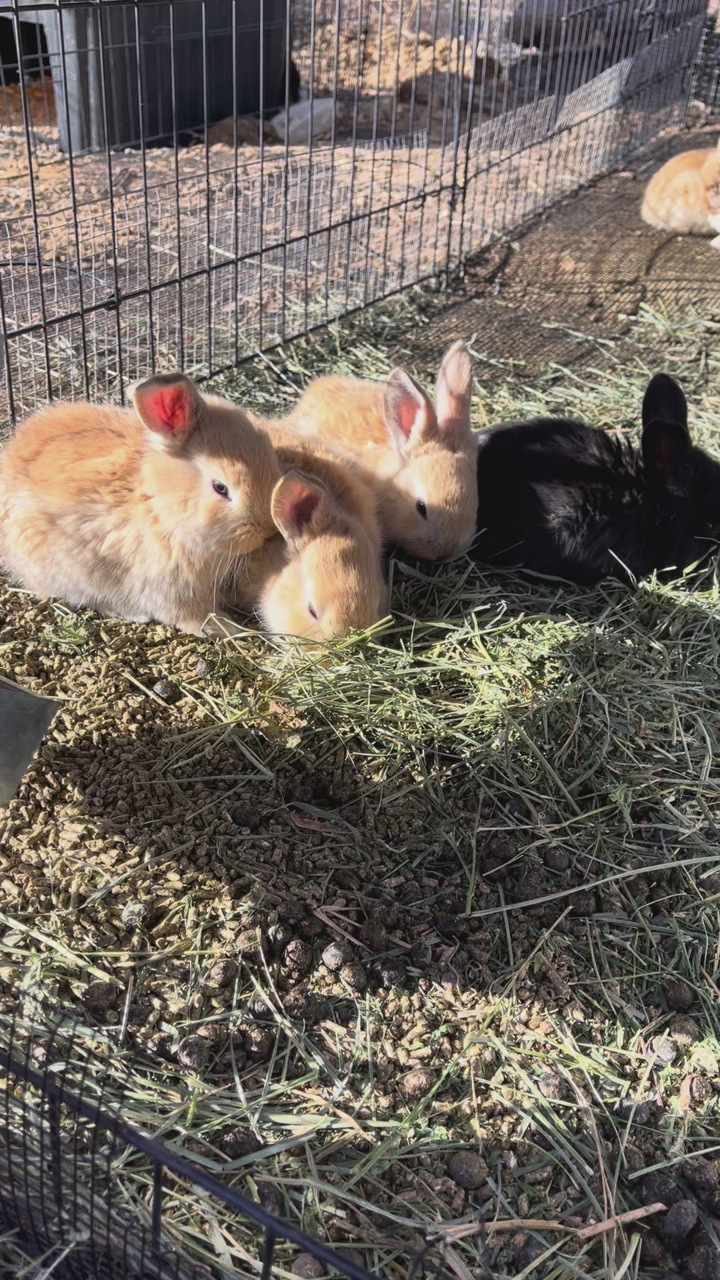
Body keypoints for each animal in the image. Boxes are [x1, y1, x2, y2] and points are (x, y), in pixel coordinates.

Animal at [0, 373, 280, 636]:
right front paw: (228, 629)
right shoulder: (171, 588)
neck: (159, 504)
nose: (266, 529)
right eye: (220, 488)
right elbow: (192, 617)